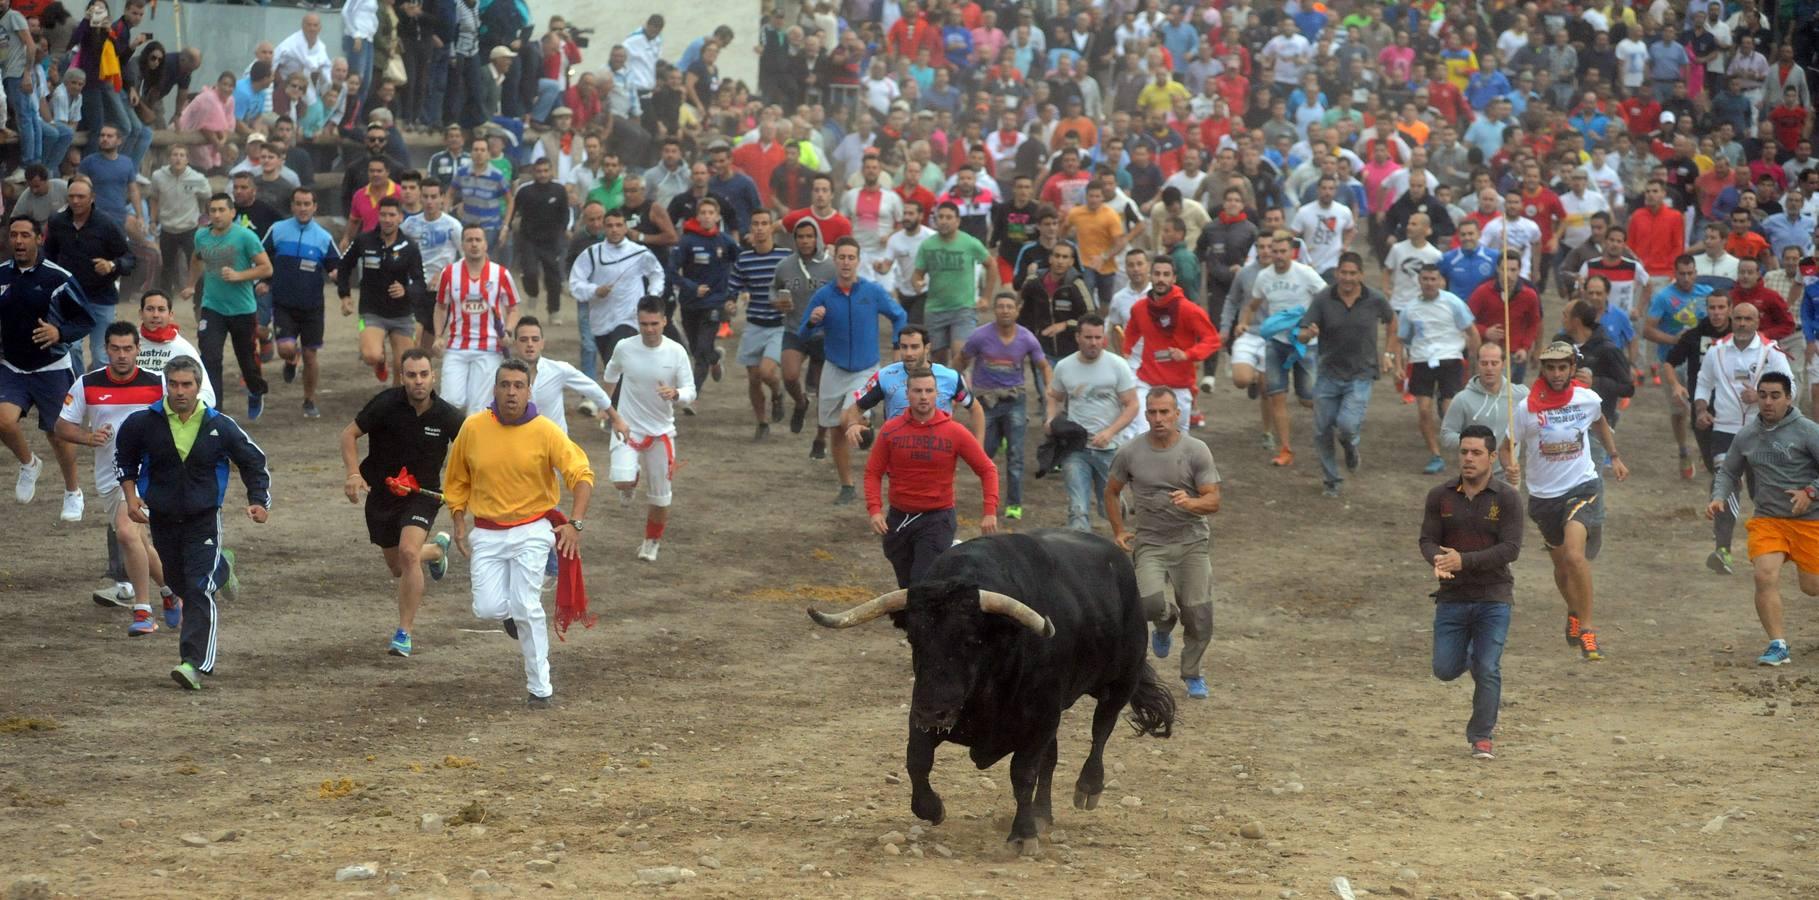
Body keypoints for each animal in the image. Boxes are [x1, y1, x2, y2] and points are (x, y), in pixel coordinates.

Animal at [803, 530, 1171, 854]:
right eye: (913, 638)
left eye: (970, 641)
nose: (932, 711)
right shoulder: (925, 710)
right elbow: (917, 760)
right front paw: (932, 808)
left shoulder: (1039, 718)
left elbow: (1023, 774)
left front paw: (1022, 835)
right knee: (1052, 759)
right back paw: (1042, 814)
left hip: (1121, 680)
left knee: (1101, 730)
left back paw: (1087, 788)